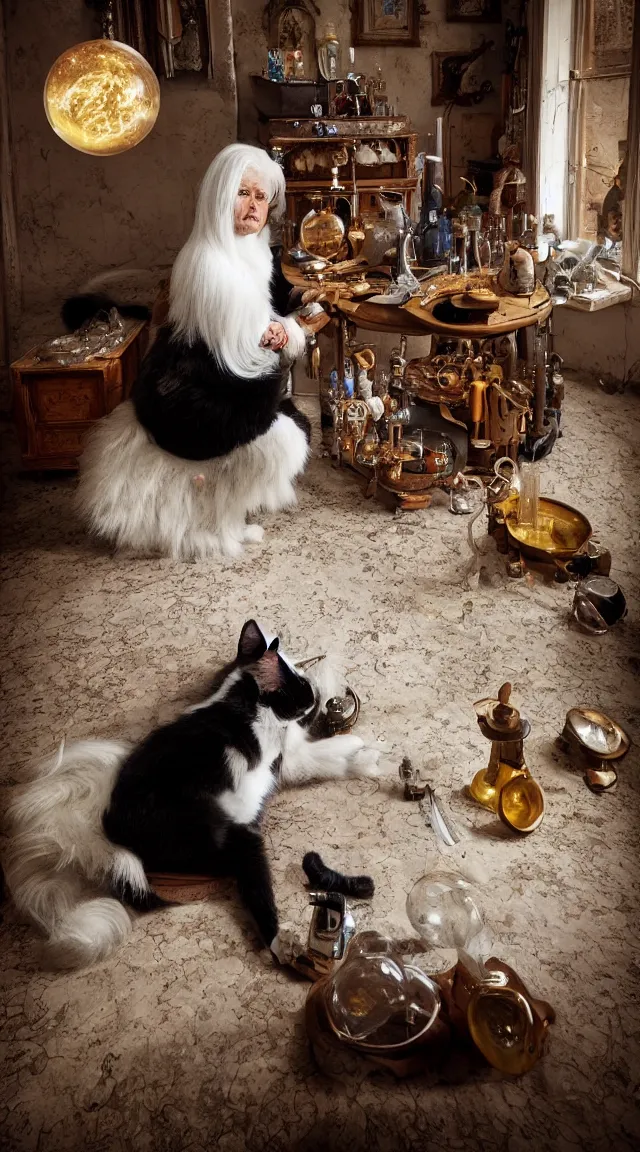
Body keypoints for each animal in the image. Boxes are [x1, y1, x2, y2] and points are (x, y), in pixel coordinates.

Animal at [2, 626, 377, 967]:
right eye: (300, 688)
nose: (312, 691)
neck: (241, 700)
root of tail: (107, 834)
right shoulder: (289, 757)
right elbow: (325, 752)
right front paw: (362, 748)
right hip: (233, 839)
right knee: (253, 888)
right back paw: (283, 944)